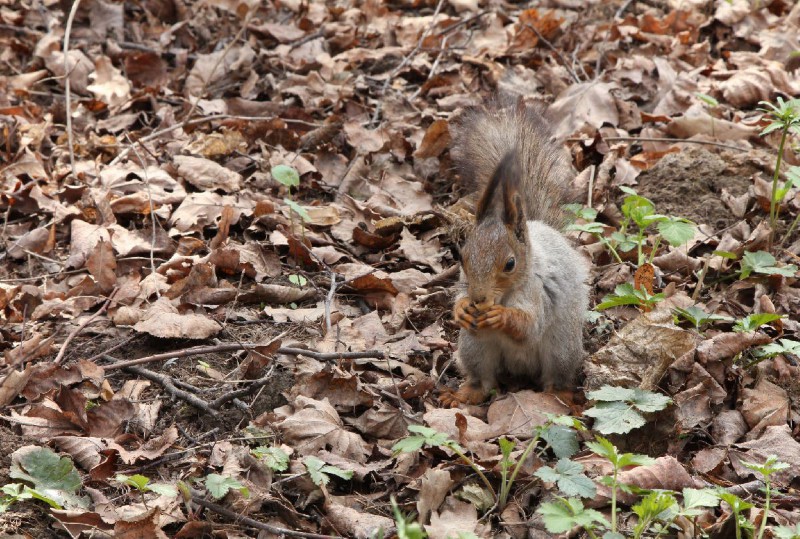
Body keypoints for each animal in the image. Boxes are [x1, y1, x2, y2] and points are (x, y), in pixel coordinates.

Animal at [440, 99, 592, 408]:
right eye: (462, 257)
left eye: (510, 263)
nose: (479, 299)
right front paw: (461, 308)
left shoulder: (535, 291)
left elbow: (528, 325)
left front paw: (501, 316)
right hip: (474, 346)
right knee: (483, 379)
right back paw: (465, 394)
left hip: (562, 349)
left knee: (555, 378)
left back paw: (560, 395)